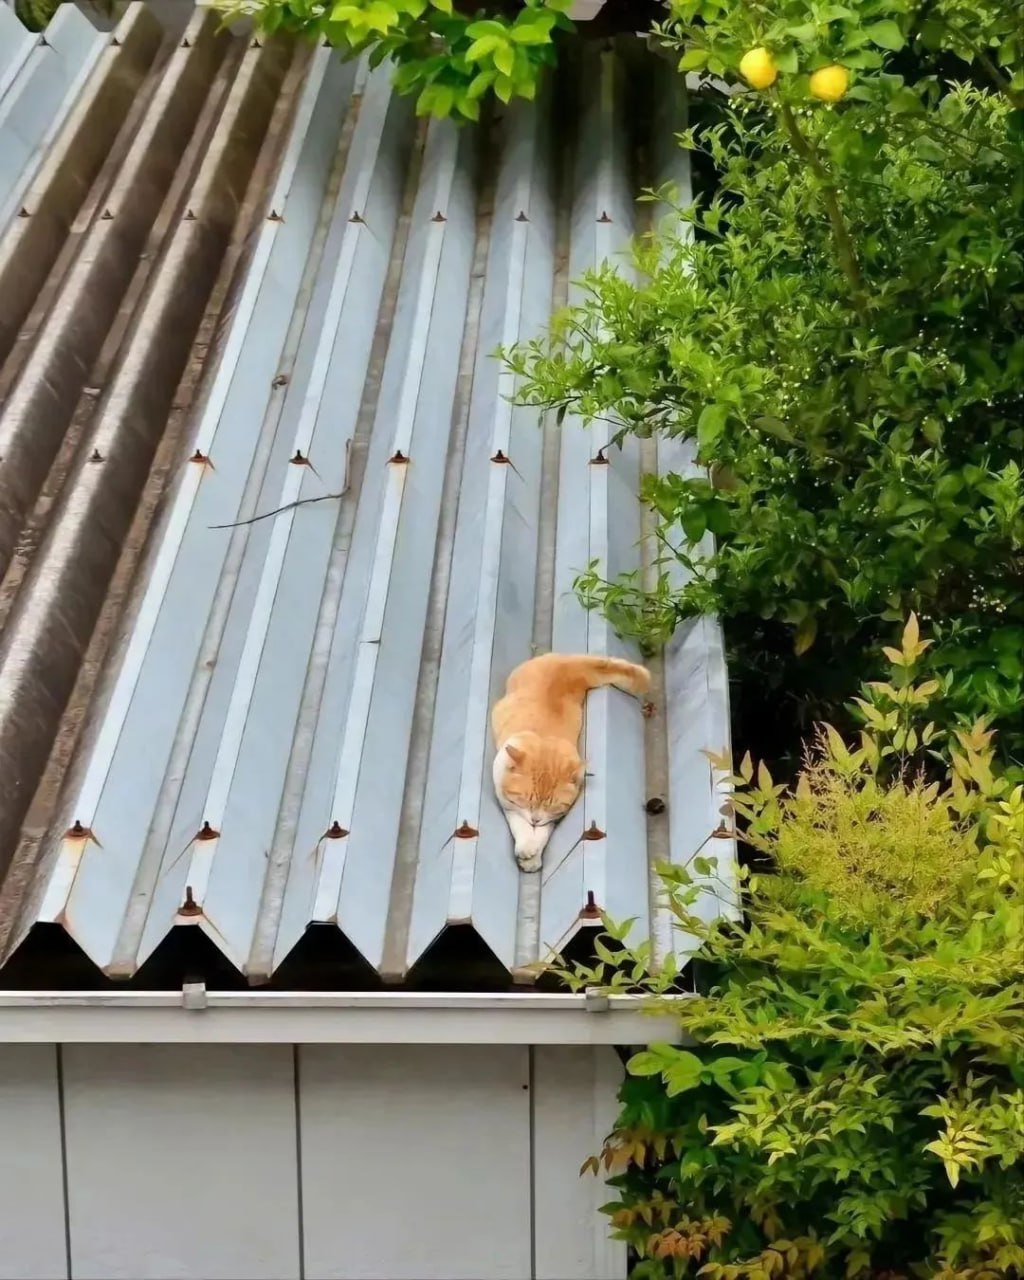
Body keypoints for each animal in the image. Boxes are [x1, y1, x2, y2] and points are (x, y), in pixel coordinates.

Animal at [494, 655, 652, 875]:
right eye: (527, 800)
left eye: (551, 805)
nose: (535, 819)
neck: (544, 740)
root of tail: (568, 663)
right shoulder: (508, 804)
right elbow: (520, 823)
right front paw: (526, 847)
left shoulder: (553, 817)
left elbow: (543, 832)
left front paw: (533, 856)